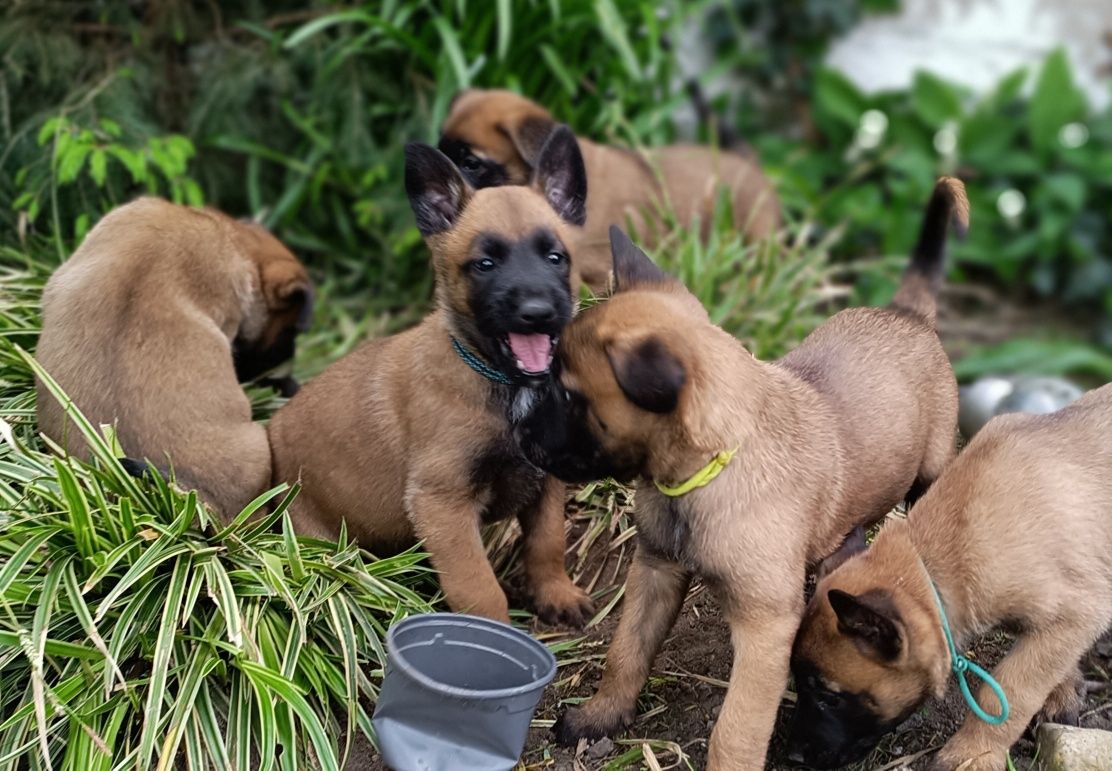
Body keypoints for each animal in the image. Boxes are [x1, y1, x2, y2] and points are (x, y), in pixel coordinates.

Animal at [266, 123, 600, 623]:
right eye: (485, 264)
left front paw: (556, 593)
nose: (537, 313)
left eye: (555, 258)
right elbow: (479, 588)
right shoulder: (443, 503)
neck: (502, 382)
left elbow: (547, 542)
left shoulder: (546, 480)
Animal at [515, 176, 969, 765]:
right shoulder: (655, 570)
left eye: (569, 397)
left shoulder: (763, 627)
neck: (708, 469)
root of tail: (906, 313)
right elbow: (627, 651)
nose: (519, 433)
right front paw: (601, 716)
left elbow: (735, 727)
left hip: (932, 466)